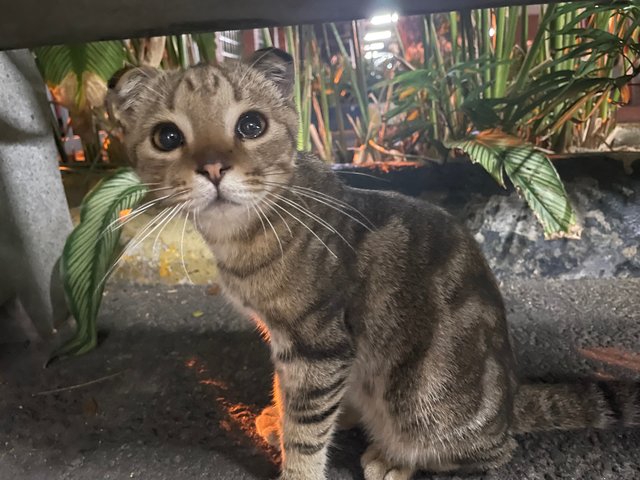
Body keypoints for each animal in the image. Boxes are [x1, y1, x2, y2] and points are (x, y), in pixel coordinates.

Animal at [106, 46, 640, 480]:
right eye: (167, 136)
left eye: (251, 125)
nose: (214, 168)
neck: (244, 235)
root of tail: (510, 400)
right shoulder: (285, 342)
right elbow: (287, 396)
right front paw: (279, 417)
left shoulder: (318, 343)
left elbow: (306, 430)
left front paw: (296, 468)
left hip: (421, 403)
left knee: (489, 452)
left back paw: (396, 458)